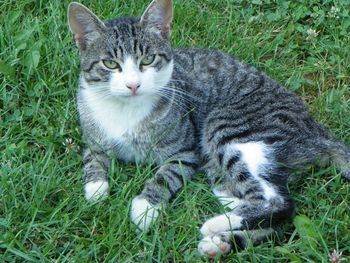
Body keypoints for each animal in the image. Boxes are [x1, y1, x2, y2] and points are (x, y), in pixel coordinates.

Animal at [67, 0, 350, 260]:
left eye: (147, 59)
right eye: (110, 64)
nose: (133, 84)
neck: (126, 111)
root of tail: (316, 131)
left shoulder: (185, 152)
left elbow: (165, 176)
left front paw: (145, 207)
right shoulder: (92, 136)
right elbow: (92, 157)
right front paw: (95, 188)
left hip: (228, 127)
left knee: (279, 203)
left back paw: (216, 224)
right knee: (263, 214)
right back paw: (221, 241)